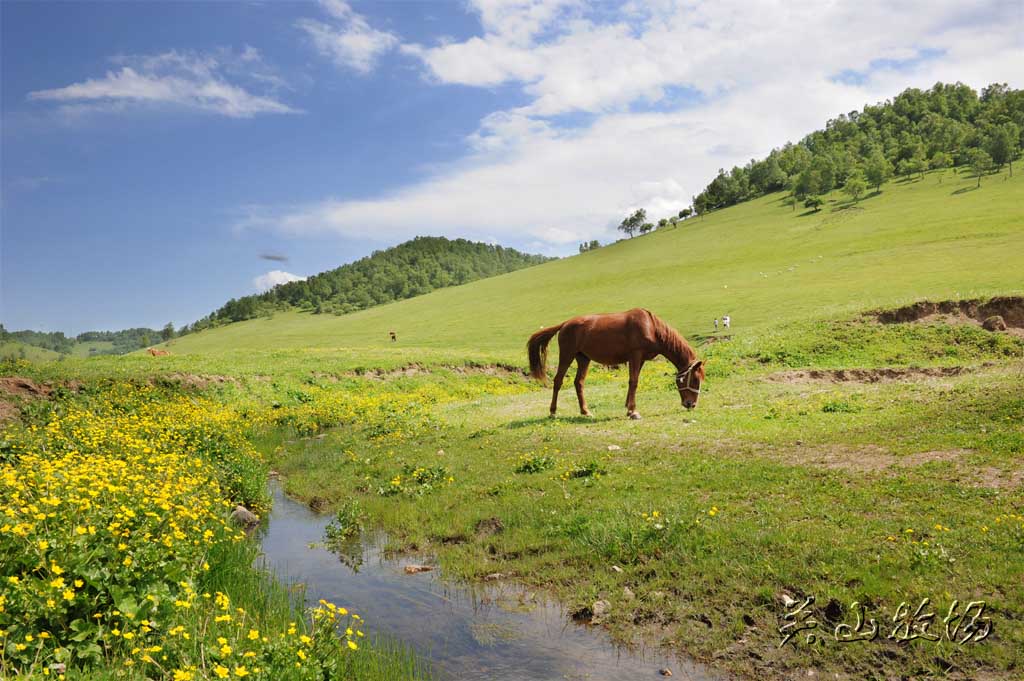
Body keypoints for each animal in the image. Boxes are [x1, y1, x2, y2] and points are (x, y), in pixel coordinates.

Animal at [528, 307, 704, 417]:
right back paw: (552, 411)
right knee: (558, 381)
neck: (652, 327)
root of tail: (564, 324)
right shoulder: (635, 356)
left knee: (579, 383)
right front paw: (633, 411)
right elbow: (634, 381)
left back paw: (585, 411)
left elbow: (633, 382)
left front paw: (628, 406)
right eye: (695, 380)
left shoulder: (640, 360)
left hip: (583, 358)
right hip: (567, 355)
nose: (691, 404)